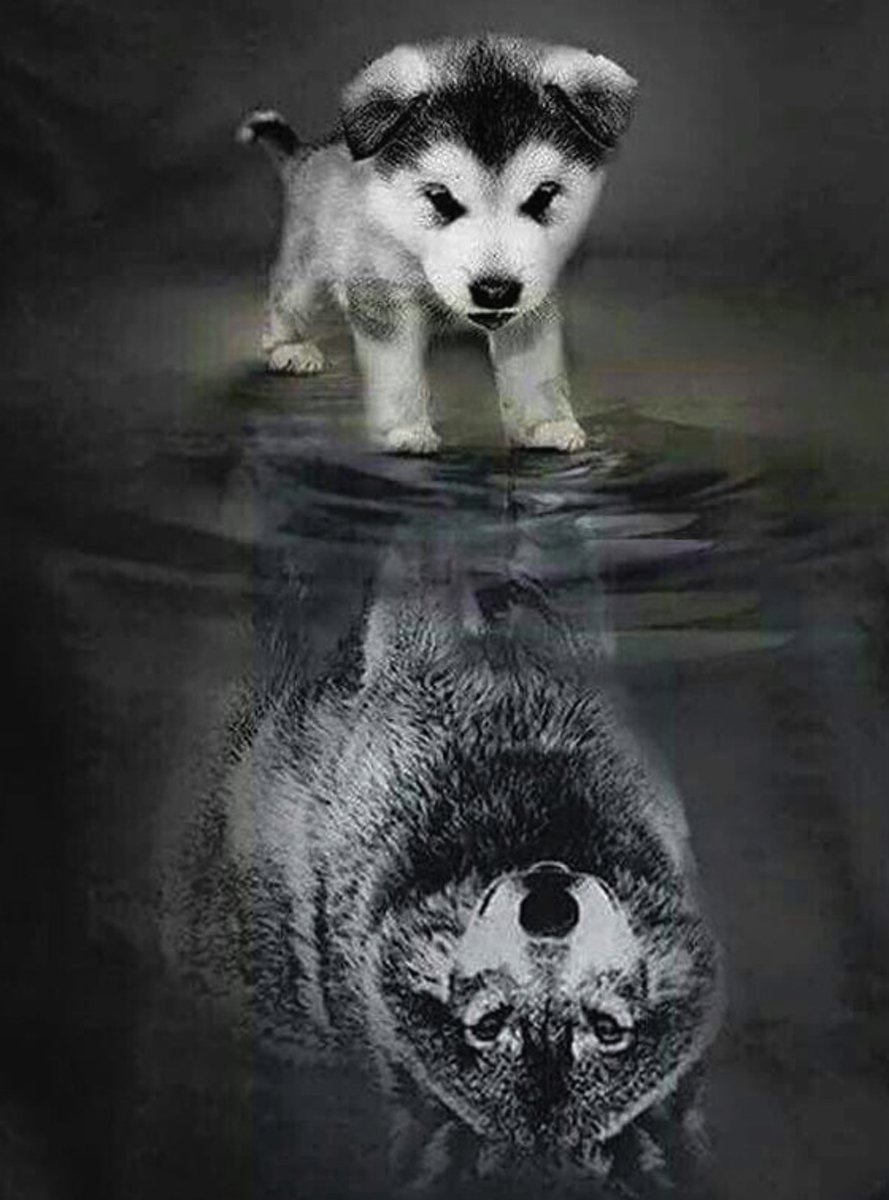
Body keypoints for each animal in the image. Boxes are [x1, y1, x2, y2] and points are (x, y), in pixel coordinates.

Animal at [239, 35, 638, 455]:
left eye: (544, 195)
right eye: (441, 198)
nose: (495, 290)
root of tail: (310, 153)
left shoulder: (533, 296)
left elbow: (535, 366)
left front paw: (546, 425)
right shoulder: (384, 298)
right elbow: (396, 368)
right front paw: (405, 431)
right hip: (309, 256)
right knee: (288, 296)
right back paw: (288, 346)